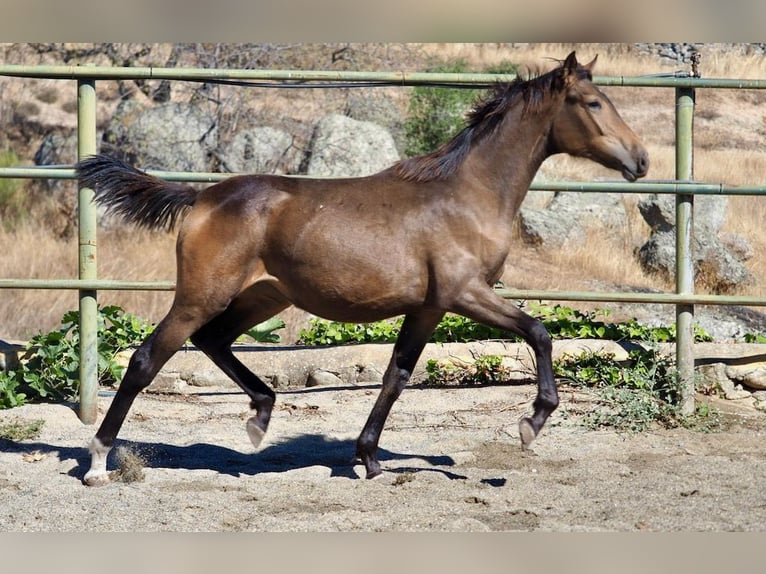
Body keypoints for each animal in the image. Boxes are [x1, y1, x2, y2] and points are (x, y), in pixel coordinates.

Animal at [76, 52, 648, 486]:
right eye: (593, 103)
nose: (641, 160)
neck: (466, 195)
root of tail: (200, 198)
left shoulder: (429, 307)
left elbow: (397, 375)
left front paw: (368, 458)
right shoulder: (466, 293)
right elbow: (539, 332)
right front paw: (532, 422)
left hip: (263, 296)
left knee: (213, 340)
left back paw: (261, 417)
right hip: (201, 295)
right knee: (146, 359)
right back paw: (99, 461)